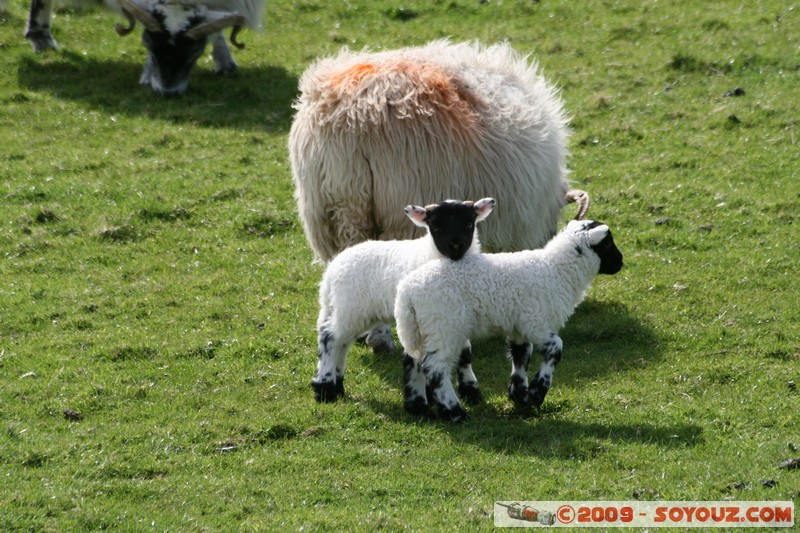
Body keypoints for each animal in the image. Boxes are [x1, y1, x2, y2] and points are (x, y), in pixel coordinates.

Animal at [310, 197, 494, 402]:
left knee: (341, 342)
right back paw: (325, 389)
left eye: (469, 224)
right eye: (435, 226)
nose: (455, 246)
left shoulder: (457, 316)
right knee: (330, 337)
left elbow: (465, 354)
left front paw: (471, 391)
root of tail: (332, 269)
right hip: (350, 308)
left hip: (353, 311)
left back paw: (338, 385)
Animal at [394, 219, 624, 420]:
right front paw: (536, 393)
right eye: (608, 244)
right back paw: (455, 412)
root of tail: (407, 291)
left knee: (412, 360)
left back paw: (417, 407)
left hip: (421, 328)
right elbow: (555, 349)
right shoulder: (536, 322)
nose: (621, 262)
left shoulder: (520, 327)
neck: (557, 270)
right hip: (445, 326)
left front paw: (519, 394)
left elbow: (521, 355)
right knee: (435, 369)